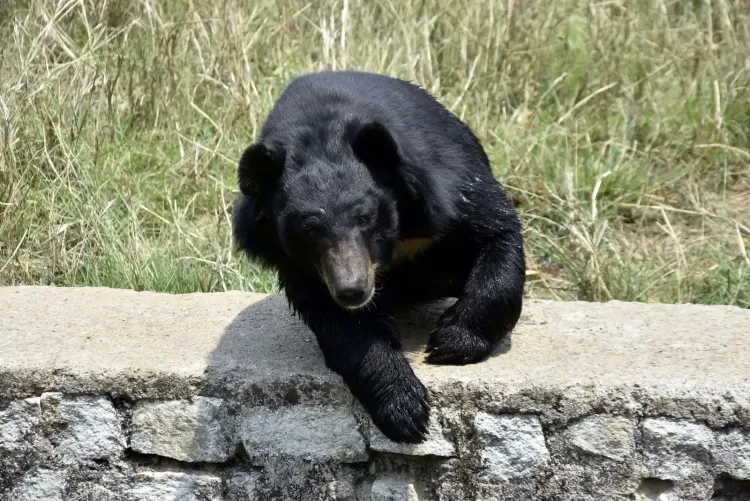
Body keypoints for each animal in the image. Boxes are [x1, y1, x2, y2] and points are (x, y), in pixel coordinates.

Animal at [232, 70, 525, 444]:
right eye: (309, 230)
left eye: (364, 217)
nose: (352, 290)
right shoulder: (301, 265)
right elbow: (345, 325)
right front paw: (405, 409)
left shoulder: (448, 184)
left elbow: (497, 232)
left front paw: (452, 343)